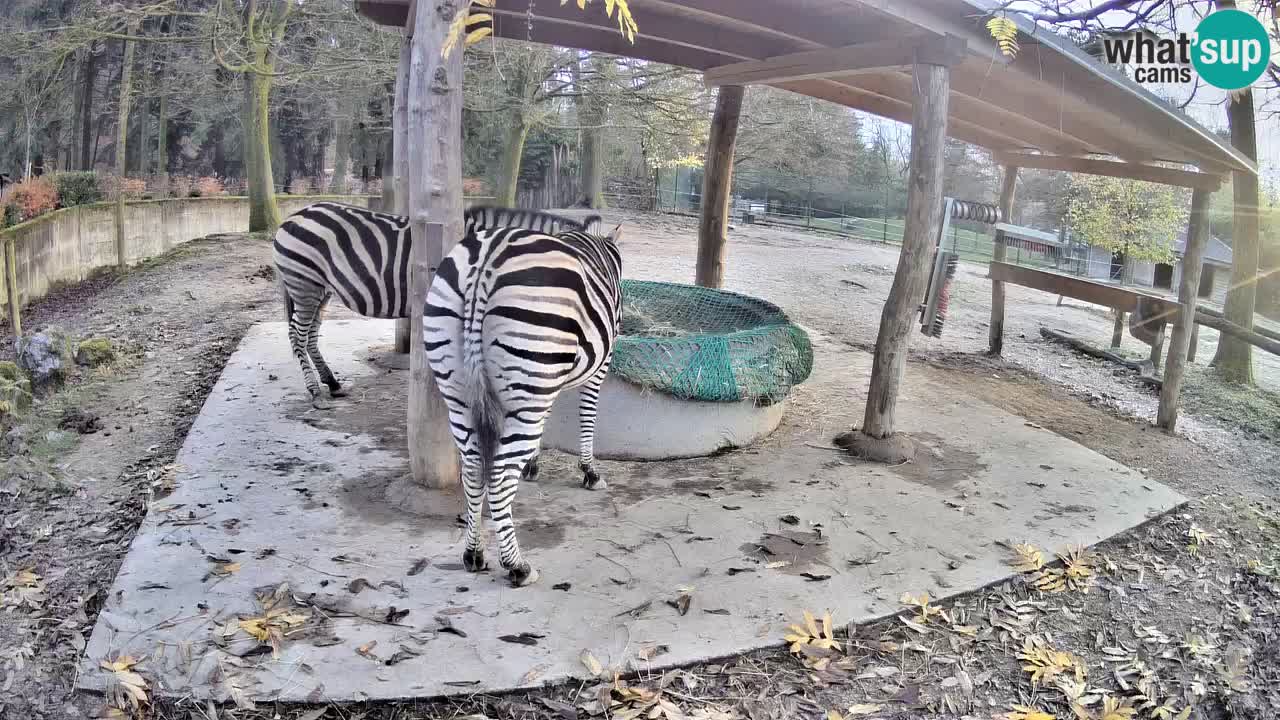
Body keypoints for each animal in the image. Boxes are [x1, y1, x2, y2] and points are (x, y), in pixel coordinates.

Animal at [271, 201, 602, 408]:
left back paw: (332, 383)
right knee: (298, 335)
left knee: (310, 336)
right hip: (304, 283)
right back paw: (315, 392)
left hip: (320, 289)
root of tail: (292, 217)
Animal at [423, 223, 623, 587]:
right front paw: (589, 471)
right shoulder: (600, 364)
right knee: (500, 476)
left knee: (472, 470)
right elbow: (587, 416)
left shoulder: (544, 383)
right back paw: (517, 565)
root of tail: (485, 262)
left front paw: (532, 464)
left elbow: (546, 423)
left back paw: (473, 553)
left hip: (460, 391)